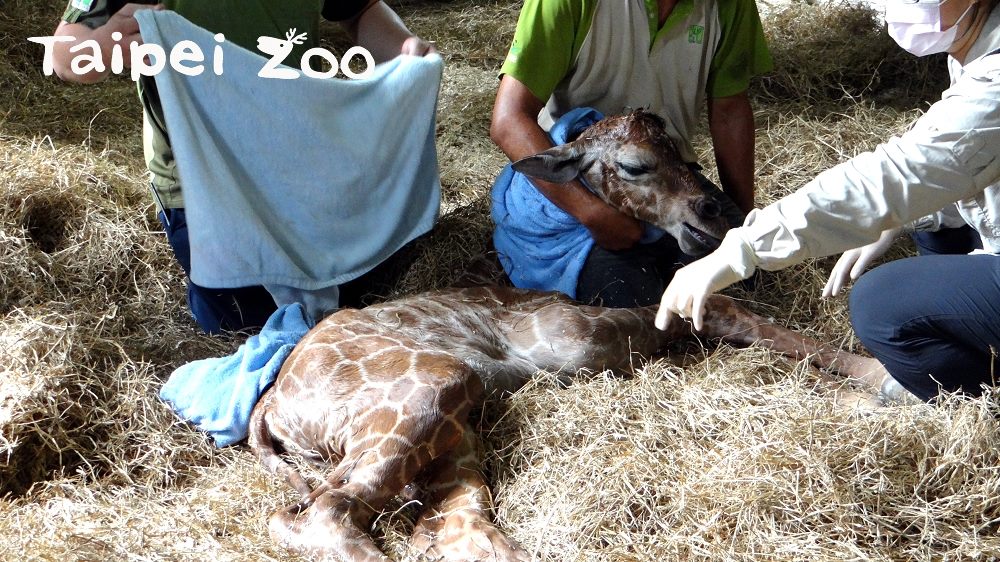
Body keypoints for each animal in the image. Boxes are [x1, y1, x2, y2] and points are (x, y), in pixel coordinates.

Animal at [247, 110, 876, 562]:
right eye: (635, 165)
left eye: (689, 156)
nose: (716, 209)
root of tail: (273, 408)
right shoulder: (572, 340)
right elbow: (714, 302)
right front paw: (874, 379)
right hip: (434, 385)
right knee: (318, 513)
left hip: (456, 432)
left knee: (452, 530)